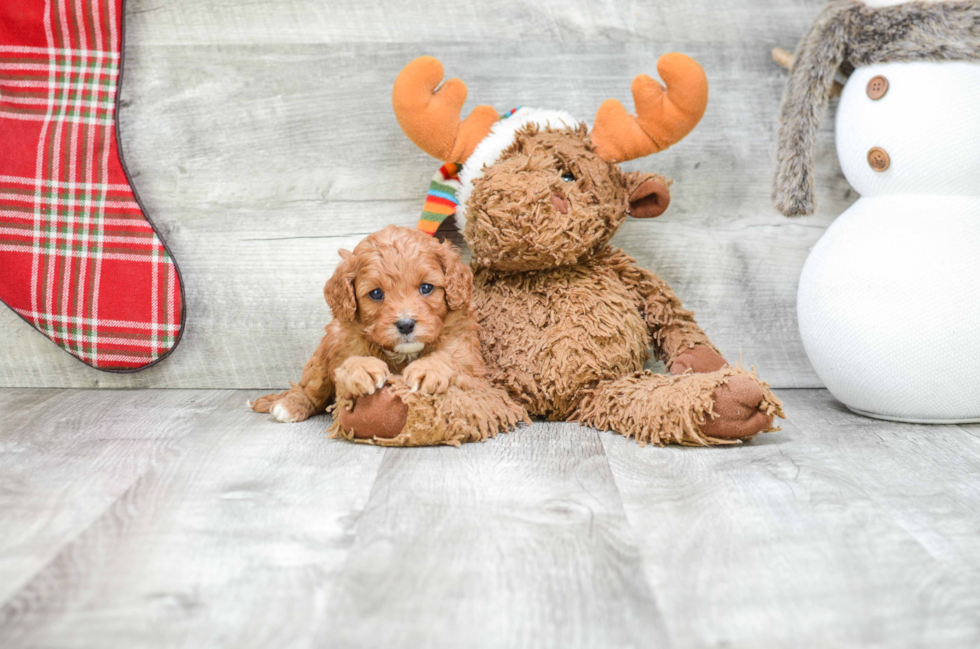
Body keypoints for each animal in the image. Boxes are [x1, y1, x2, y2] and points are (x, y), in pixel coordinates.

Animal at [251, 224, 484, 426]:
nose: (406, 325)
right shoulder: (344, 344)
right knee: (310, 387)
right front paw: (362, 368)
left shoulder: (471, 366)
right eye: (376, 293)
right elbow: (348, 364)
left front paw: (429, 368)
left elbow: (451, 359)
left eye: (426, 288)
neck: (403, 355)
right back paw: (290, 405)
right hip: (323, 353)